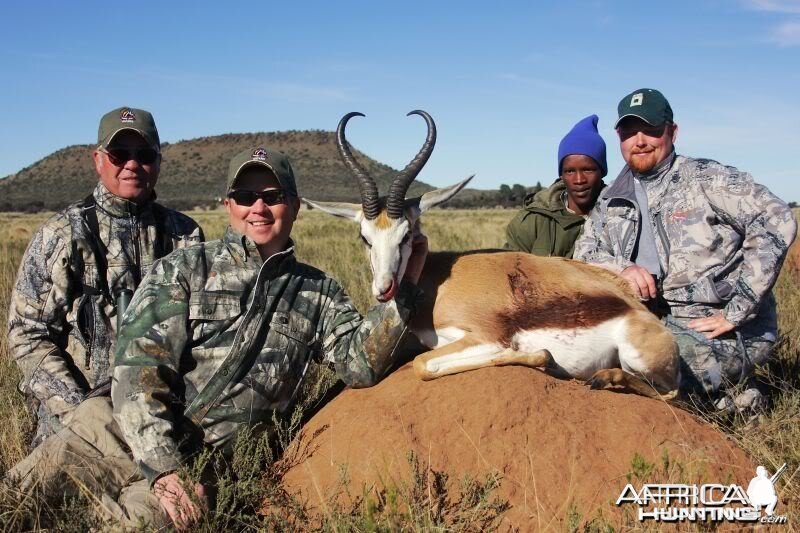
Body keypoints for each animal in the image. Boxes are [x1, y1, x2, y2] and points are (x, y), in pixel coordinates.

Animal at [304, 110, 680, 396]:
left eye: (407, 234)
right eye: (364, 237)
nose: (383, 289)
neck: (437, 285)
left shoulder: (484, 338)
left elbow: (423, 364)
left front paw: (536, 355)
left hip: (640, 359)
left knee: (670, 392)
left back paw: (601, 378)